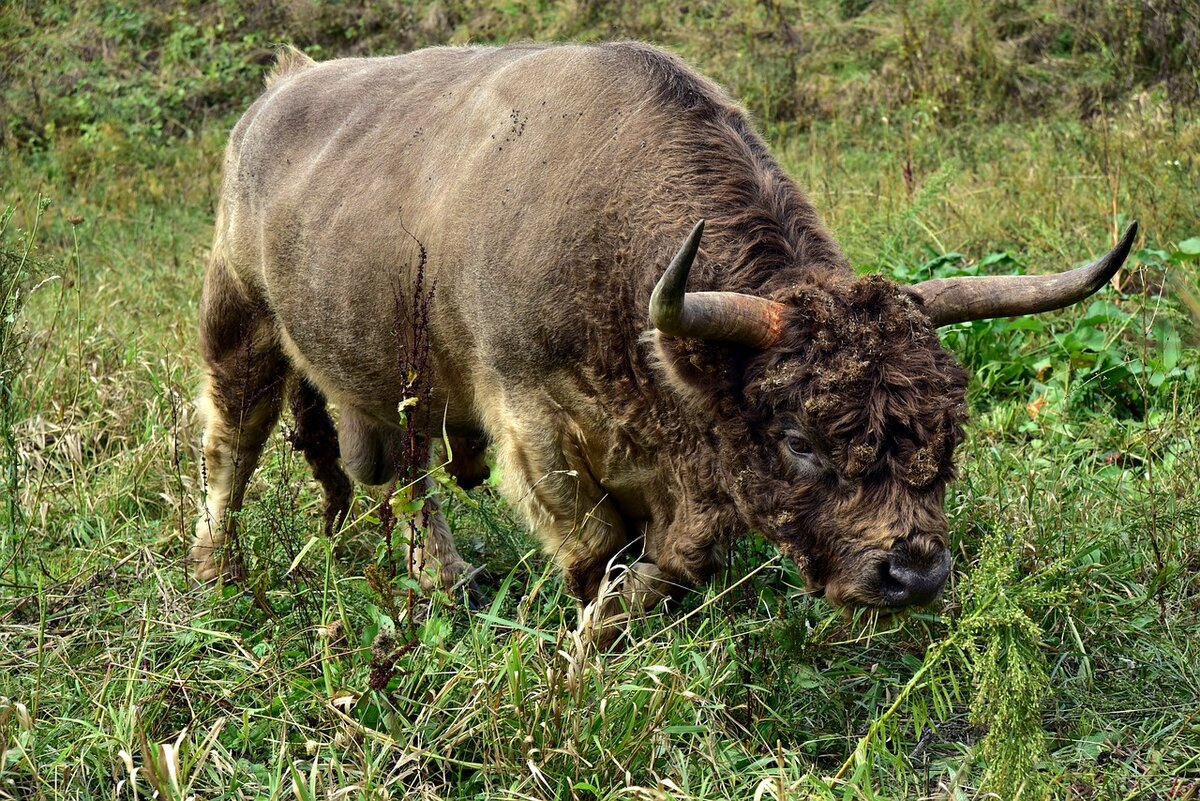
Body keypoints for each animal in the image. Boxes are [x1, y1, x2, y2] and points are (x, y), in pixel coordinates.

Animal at [187, 42, 1132, 633]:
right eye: (799, 439)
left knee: (399, 471)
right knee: (232, 446)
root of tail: (281, 90)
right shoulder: (536, 427)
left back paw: (443, 580)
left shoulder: (688, 474)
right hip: (239, 320)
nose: (916, 574)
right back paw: (214, 573)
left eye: (948, 432)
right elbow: (599, 556)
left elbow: (670, 562)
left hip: (393, 371)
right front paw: (585, 649)